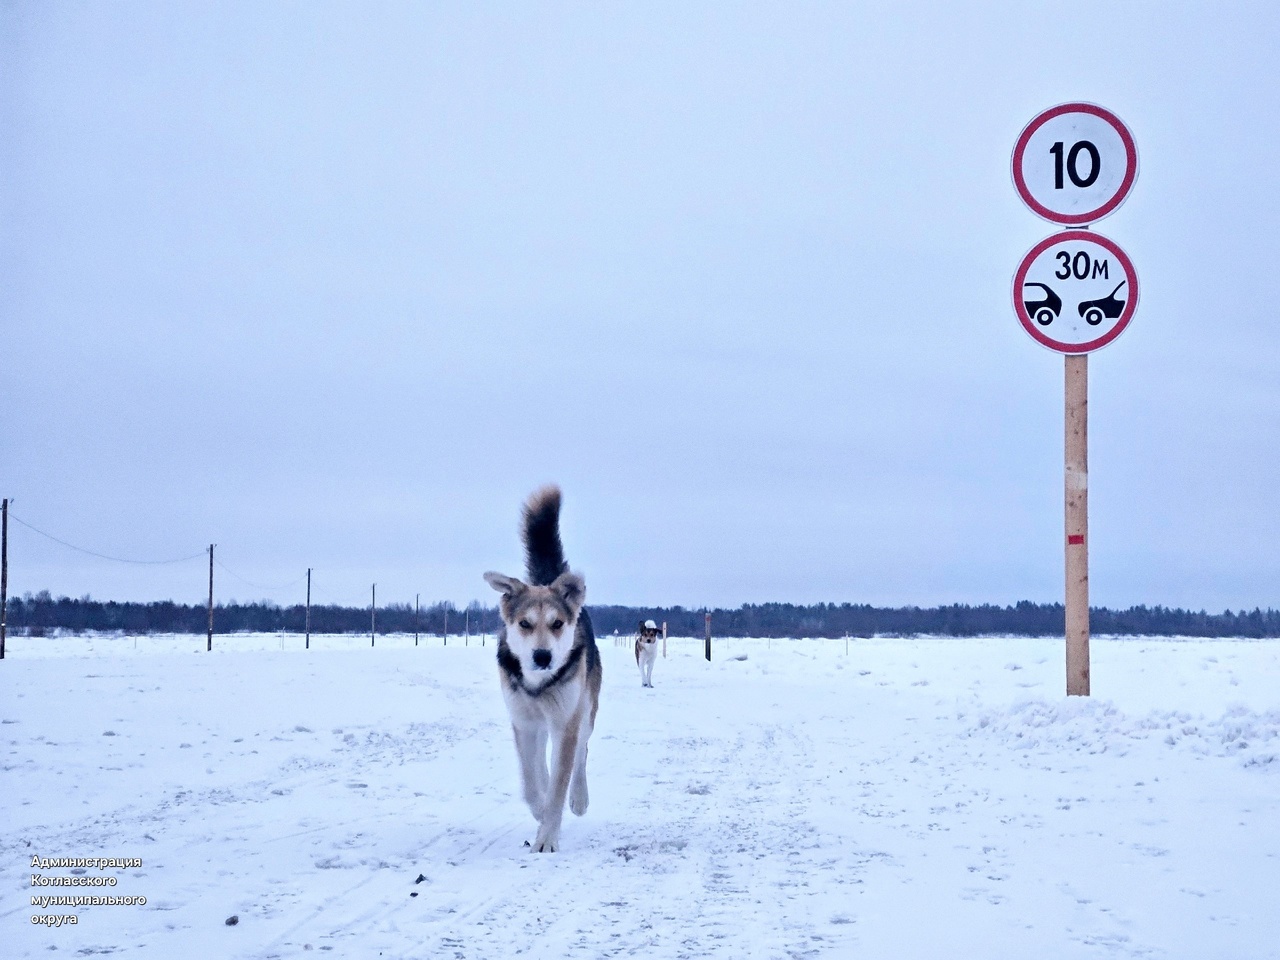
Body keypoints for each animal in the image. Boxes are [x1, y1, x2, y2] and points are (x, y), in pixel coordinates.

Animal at [481, 483, 601, 855]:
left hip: (586, 708)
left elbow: (561, 779)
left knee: (582, 753)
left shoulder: (566, 721)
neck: (538, 684)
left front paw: (547, 837)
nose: (543, 656)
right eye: (525, 623)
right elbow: (531, 781)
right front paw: (540, 808)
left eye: (557, 623)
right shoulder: (523, 721)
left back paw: (580, 798)